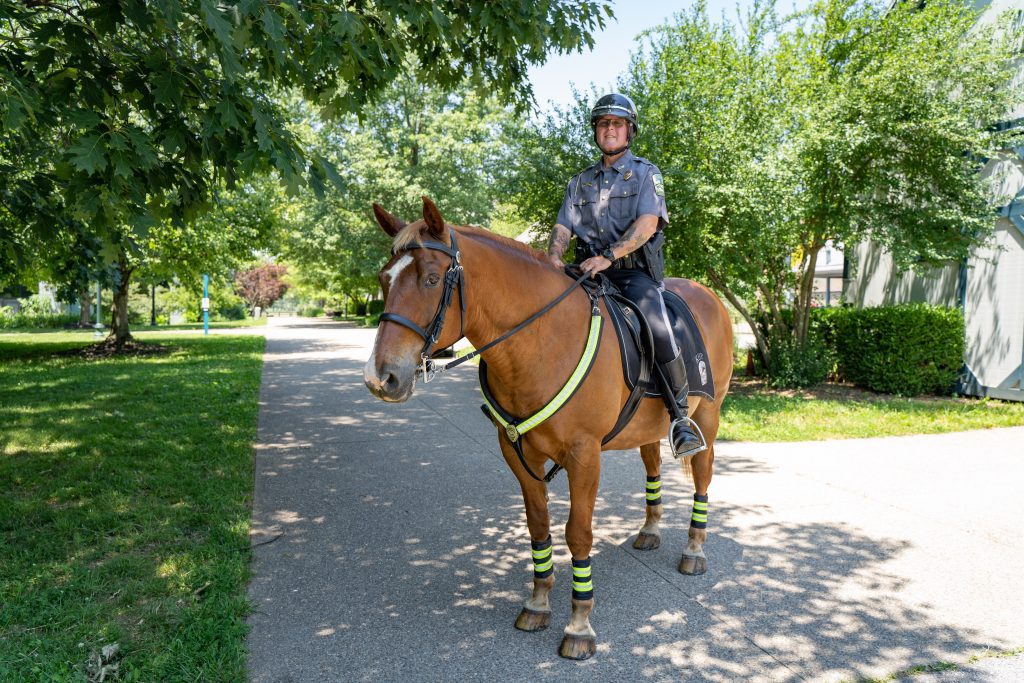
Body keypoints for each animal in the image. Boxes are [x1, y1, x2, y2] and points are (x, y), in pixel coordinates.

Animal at [364, 197, 733, 663]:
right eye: (384, 279)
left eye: (431, 279)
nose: (381, 378)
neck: (541, 342)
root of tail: (708, 295)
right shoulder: (518, 453)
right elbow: (538, 526)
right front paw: (538, 603)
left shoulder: (584, 455)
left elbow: (578, 534)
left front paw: (579, 623)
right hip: (649, 426)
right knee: (652, 464)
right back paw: (650, 530)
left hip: (709, 416)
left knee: (703, 475)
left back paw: (694, 548)